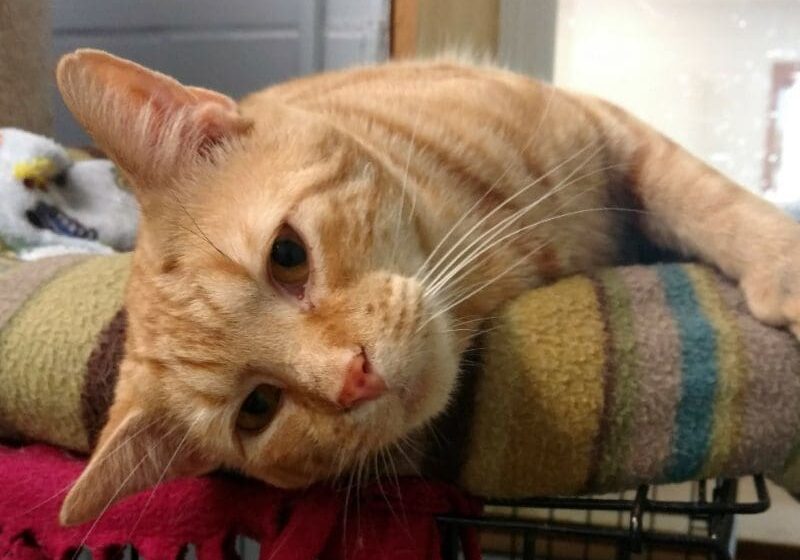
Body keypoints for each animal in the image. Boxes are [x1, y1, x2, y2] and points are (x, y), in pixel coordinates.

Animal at [53, 49, 800, 524]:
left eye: (287, 256)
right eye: (257, 409)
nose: (354, 378)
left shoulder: (606, 127)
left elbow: (705, 194)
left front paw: (782, 261)